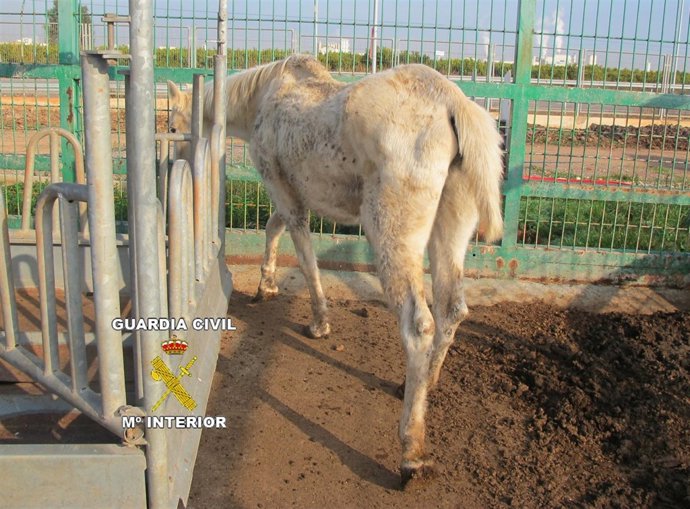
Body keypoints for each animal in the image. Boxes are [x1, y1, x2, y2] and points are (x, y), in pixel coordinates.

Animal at [167, 54, 504, 486]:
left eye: (172, 126)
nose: (168, 164)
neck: (263, 98)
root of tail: (452, 103)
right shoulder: (290, 196)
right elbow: (273, 229)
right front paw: (265, 286)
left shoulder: (284, 191)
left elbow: (304, 256)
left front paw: (318, 322)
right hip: (449, 230)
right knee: (452, 310)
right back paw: (419, 386)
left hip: (391, 235)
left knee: (419, 325)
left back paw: (411, 454)